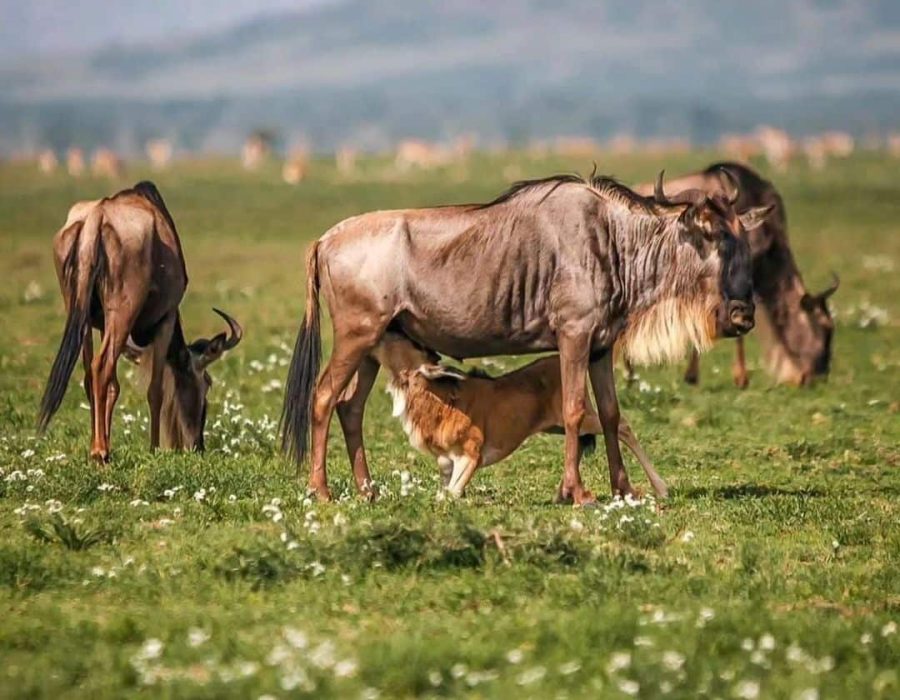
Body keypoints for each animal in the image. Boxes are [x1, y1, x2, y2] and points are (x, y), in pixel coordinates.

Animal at [38, 182, 243, 461]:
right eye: (207, 383)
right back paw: (100, 451)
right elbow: (155, 390)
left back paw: (98, 447)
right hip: (123, 313)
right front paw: (154, 447)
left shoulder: (102, 326)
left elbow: (114, 386)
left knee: (92, 373)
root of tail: (97, 216)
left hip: (80, 315)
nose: (198, 445)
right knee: (101, 366)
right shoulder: (166, 320)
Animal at [370, 331, 668, 498]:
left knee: (623, 426)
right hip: (558, 426)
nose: (380, 332)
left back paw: (661, 487)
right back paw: (564, 491)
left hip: (585, 418)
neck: (439, 400)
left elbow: (451, 494)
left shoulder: (471, 455)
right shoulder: (446, 461)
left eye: (409, 342)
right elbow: (444, 491)